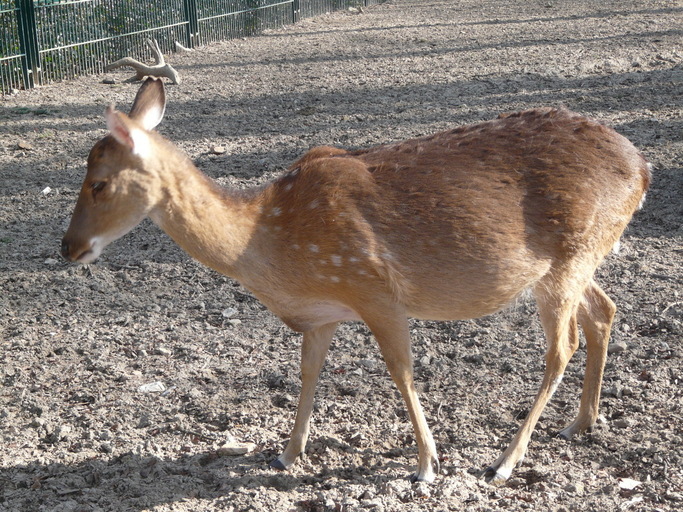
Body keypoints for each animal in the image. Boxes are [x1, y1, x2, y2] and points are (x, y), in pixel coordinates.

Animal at [60, 77, 652, 484]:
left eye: (99, 183)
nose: (67, 247)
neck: (270, 245)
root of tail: (643, 169)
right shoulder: (324, 314)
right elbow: (307, 373)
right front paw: (287, 453)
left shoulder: (373, 286)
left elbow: (401, 371)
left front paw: (426, 465)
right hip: (578, 260)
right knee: (604, 311)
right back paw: (582, 423)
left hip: (571, 256)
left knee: (562, 345)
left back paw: (505, 461)